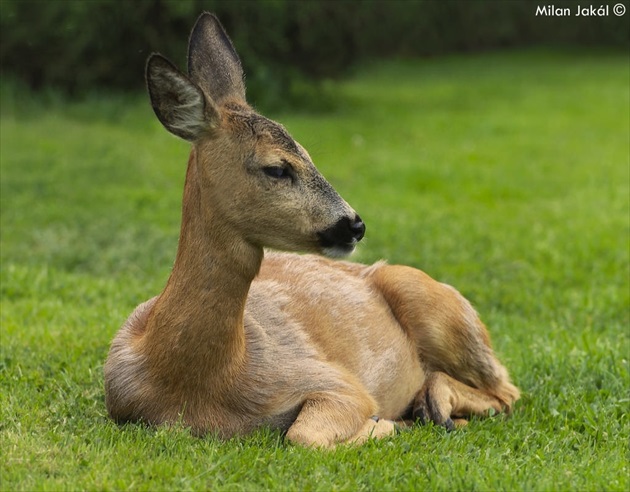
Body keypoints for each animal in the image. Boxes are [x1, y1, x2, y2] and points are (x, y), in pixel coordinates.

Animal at [103, 13, 520, 448]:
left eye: (308, 153)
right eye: (276, 167)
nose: (354, 224)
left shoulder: (333, 379)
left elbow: (303, 434)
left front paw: (384, 422)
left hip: (436, 303)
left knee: (506, 391)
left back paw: (431, 407)